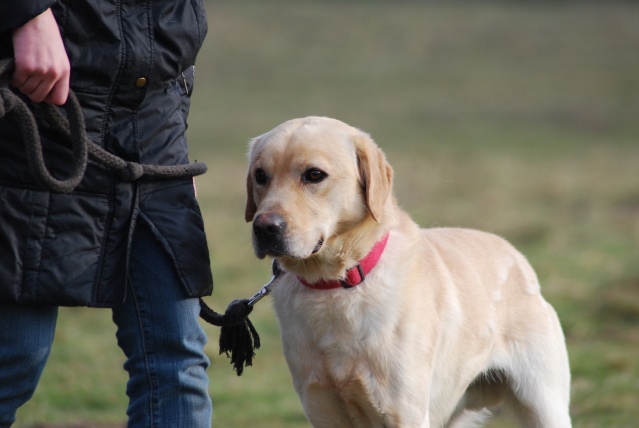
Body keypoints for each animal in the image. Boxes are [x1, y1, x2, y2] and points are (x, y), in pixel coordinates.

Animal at [244, 117, 568, 428]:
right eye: (260, 175)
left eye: (314, 174)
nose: (264, 228)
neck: (336, 286)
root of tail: (516, 255)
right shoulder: (322, 410)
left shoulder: (403, 411)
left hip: (544, 405)